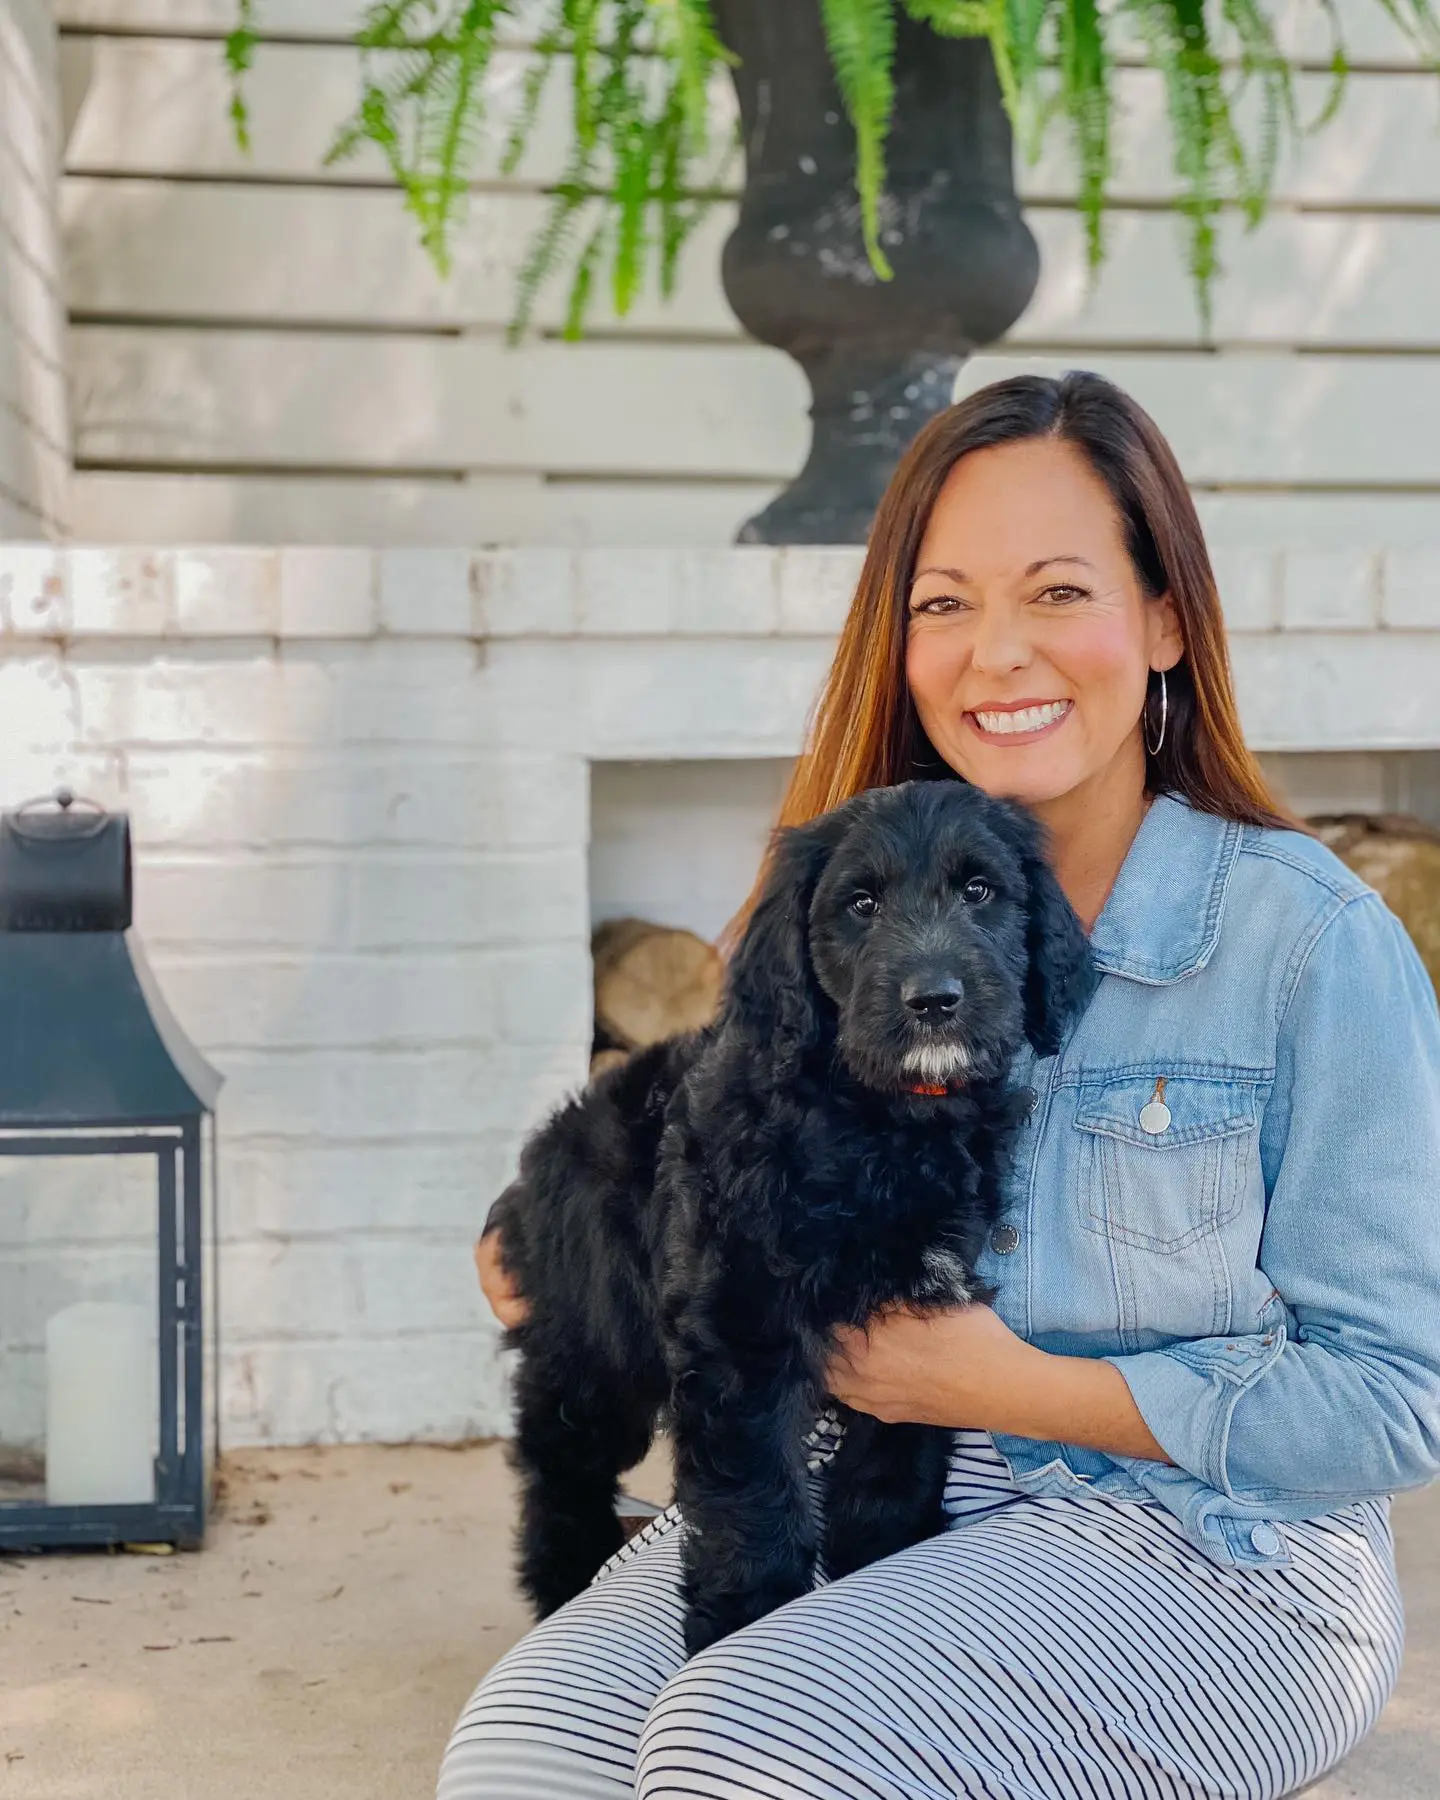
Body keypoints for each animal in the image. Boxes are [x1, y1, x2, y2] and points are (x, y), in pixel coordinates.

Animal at [489, 781, 1094, 1648]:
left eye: (980, 891)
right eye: (861, 904)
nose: (935, 1000)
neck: (882, 1123)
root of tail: (563, 1126)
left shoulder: (921, 1327)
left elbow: (894, 1462)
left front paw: (876, 1560)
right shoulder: (739, 1327)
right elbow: (754, 1497)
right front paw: (742, 1620)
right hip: (597, 1337)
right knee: (558, 1455)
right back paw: (561, 1574)